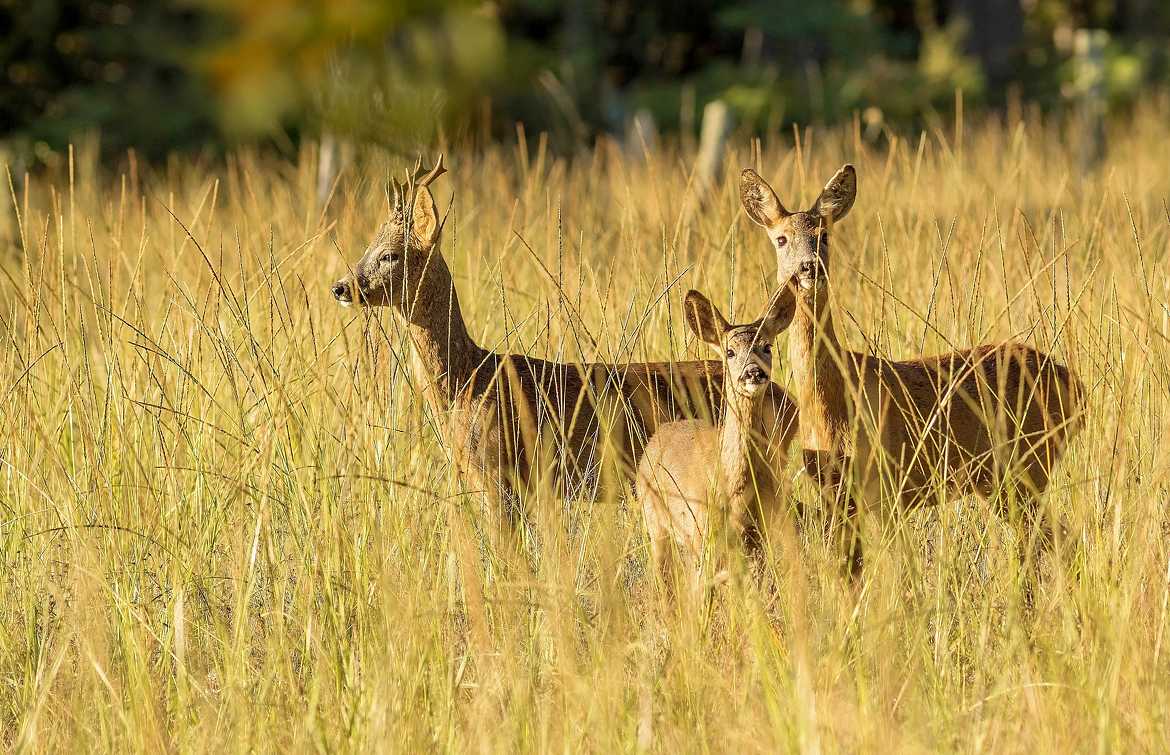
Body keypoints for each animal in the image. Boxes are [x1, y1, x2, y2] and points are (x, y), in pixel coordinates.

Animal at [739, 161, 1085, 580]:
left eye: (824, 236)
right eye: (781, 239)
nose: (810, 267)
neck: (833, 402)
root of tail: (1076, 387)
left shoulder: (887, 484)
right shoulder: (835, 491)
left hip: (1025, 466)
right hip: (1006, 478)